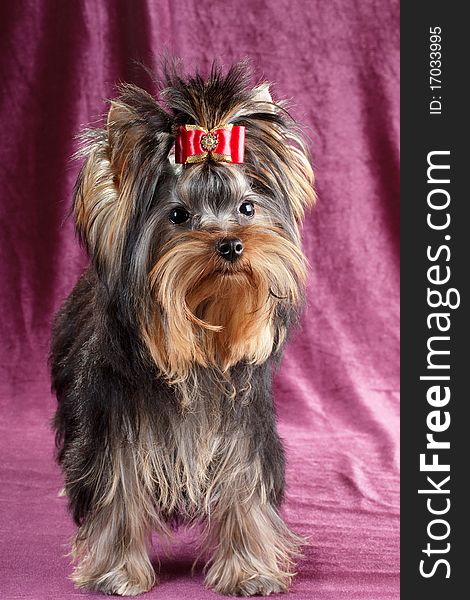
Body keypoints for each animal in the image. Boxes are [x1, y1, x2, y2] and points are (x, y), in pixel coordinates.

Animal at [50, 59, 316, 596]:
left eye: (247, 208)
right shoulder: (115, 433)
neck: (198, 349)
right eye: (179, 215)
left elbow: (245, 493)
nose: (232, 244)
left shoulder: (243, 432)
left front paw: (250, 570)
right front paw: (115, 571)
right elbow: (117, 494)